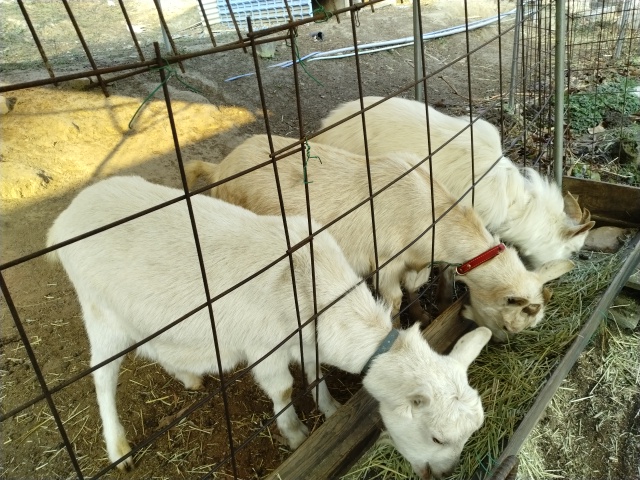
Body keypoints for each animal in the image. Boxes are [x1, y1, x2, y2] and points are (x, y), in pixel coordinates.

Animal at [46, 175, 492, 479]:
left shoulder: (309, 338)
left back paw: (188, 375)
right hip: (99, 312)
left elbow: (315, 373)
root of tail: (66, 217)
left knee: (154, 346)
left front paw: (330, 409)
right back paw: (118, 448)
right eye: (437, 438)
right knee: (103, 377)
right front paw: (295, 434)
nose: (445, 473)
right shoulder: (266, 348)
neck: (313, 286)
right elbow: (282, 388)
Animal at [184, 135, 574, 341]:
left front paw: (423, 316)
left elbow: (413, 290)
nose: (497, 342)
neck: (431, 214)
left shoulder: (415, 263)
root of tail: (218, 169)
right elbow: (393, 299)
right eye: (508, 322)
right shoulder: (385, 262)